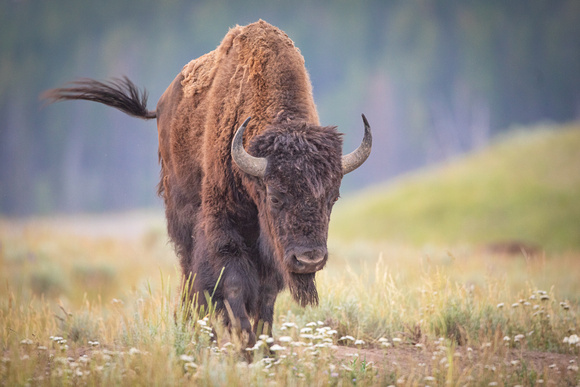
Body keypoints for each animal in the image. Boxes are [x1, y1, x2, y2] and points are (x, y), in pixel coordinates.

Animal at [45, 20, 372, 348]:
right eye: (276, 197)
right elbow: (232, 284)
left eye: (332, 198)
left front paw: (265, 347)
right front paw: (246, 345)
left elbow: (266, 294)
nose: (309, 259)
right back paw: (197, 331)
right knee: (191, 274)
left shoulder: (271, 252)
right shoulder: (222, 226)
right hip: (182, 218)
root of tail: (162, 106)